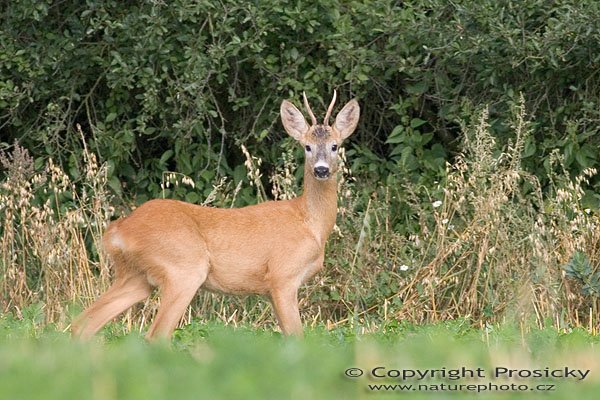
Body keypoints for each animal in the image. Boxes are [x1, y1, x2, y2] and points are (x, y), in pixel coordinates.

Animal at [72, 91, 358, 340]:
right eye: (307, 146)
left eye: (335, 146)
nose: (321, 170)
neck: (310, 223)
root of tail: (118, 229)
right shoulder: (282, 276)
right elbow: (297, 338)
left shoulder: (271, 289)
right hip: (182, 268)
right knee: (154, 335)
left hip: (136, 277)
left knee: (84, 322)